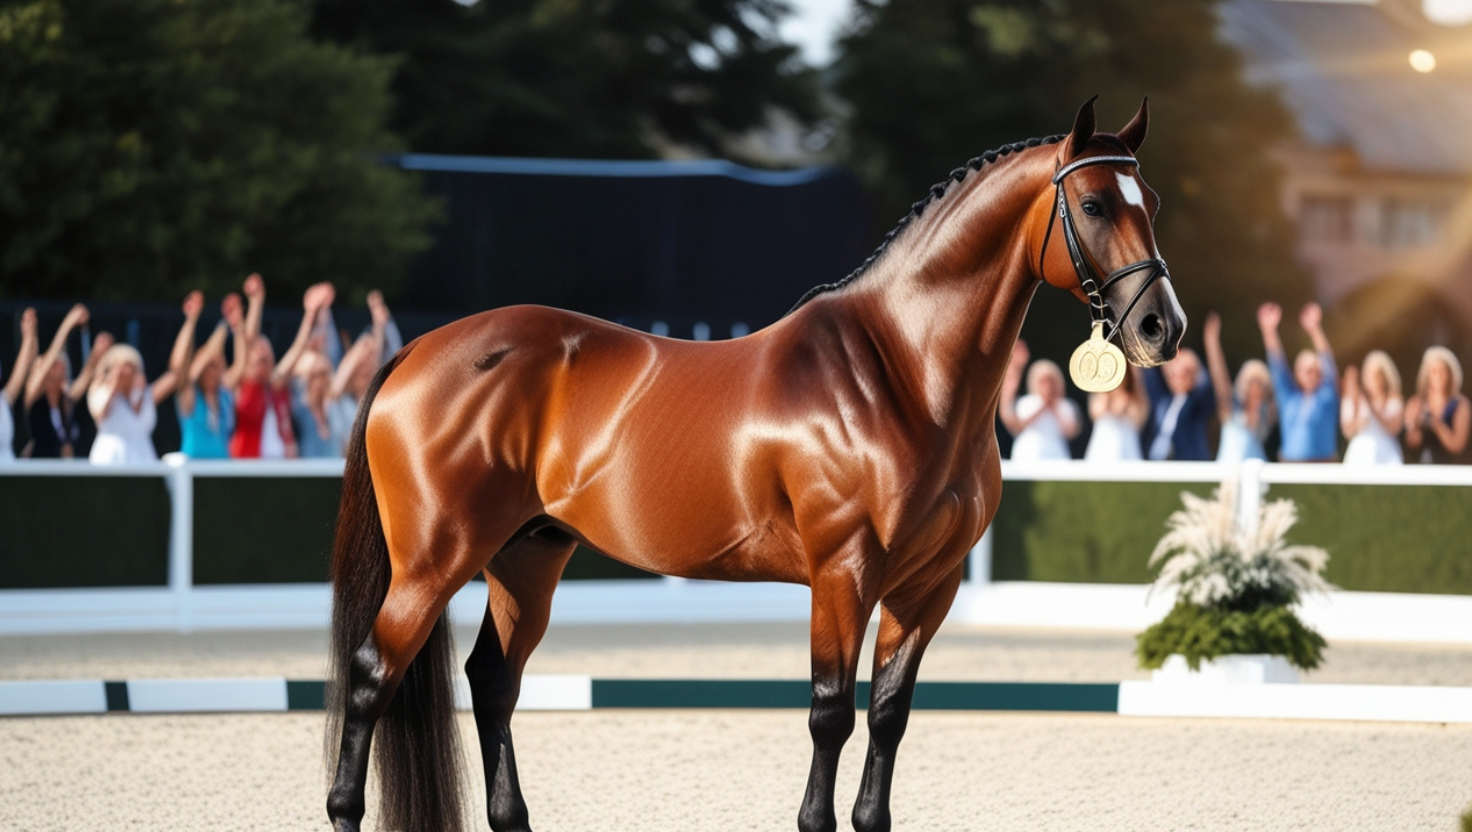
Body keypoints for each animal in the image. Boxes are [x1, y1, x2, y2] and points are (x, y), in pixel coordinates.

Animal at [325, 96, 1185, 832]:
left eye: (1151, 204)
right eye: (1094, 205)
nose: (1161, 327)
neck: (900, 373)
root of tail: (417, 349)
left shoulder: (928, 588)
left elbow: (888, 717)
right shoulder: (844, 573)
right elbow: (830, 713)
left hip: (527, 556)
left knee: (493, 683)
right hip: (434, 560)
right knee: (371, 677)